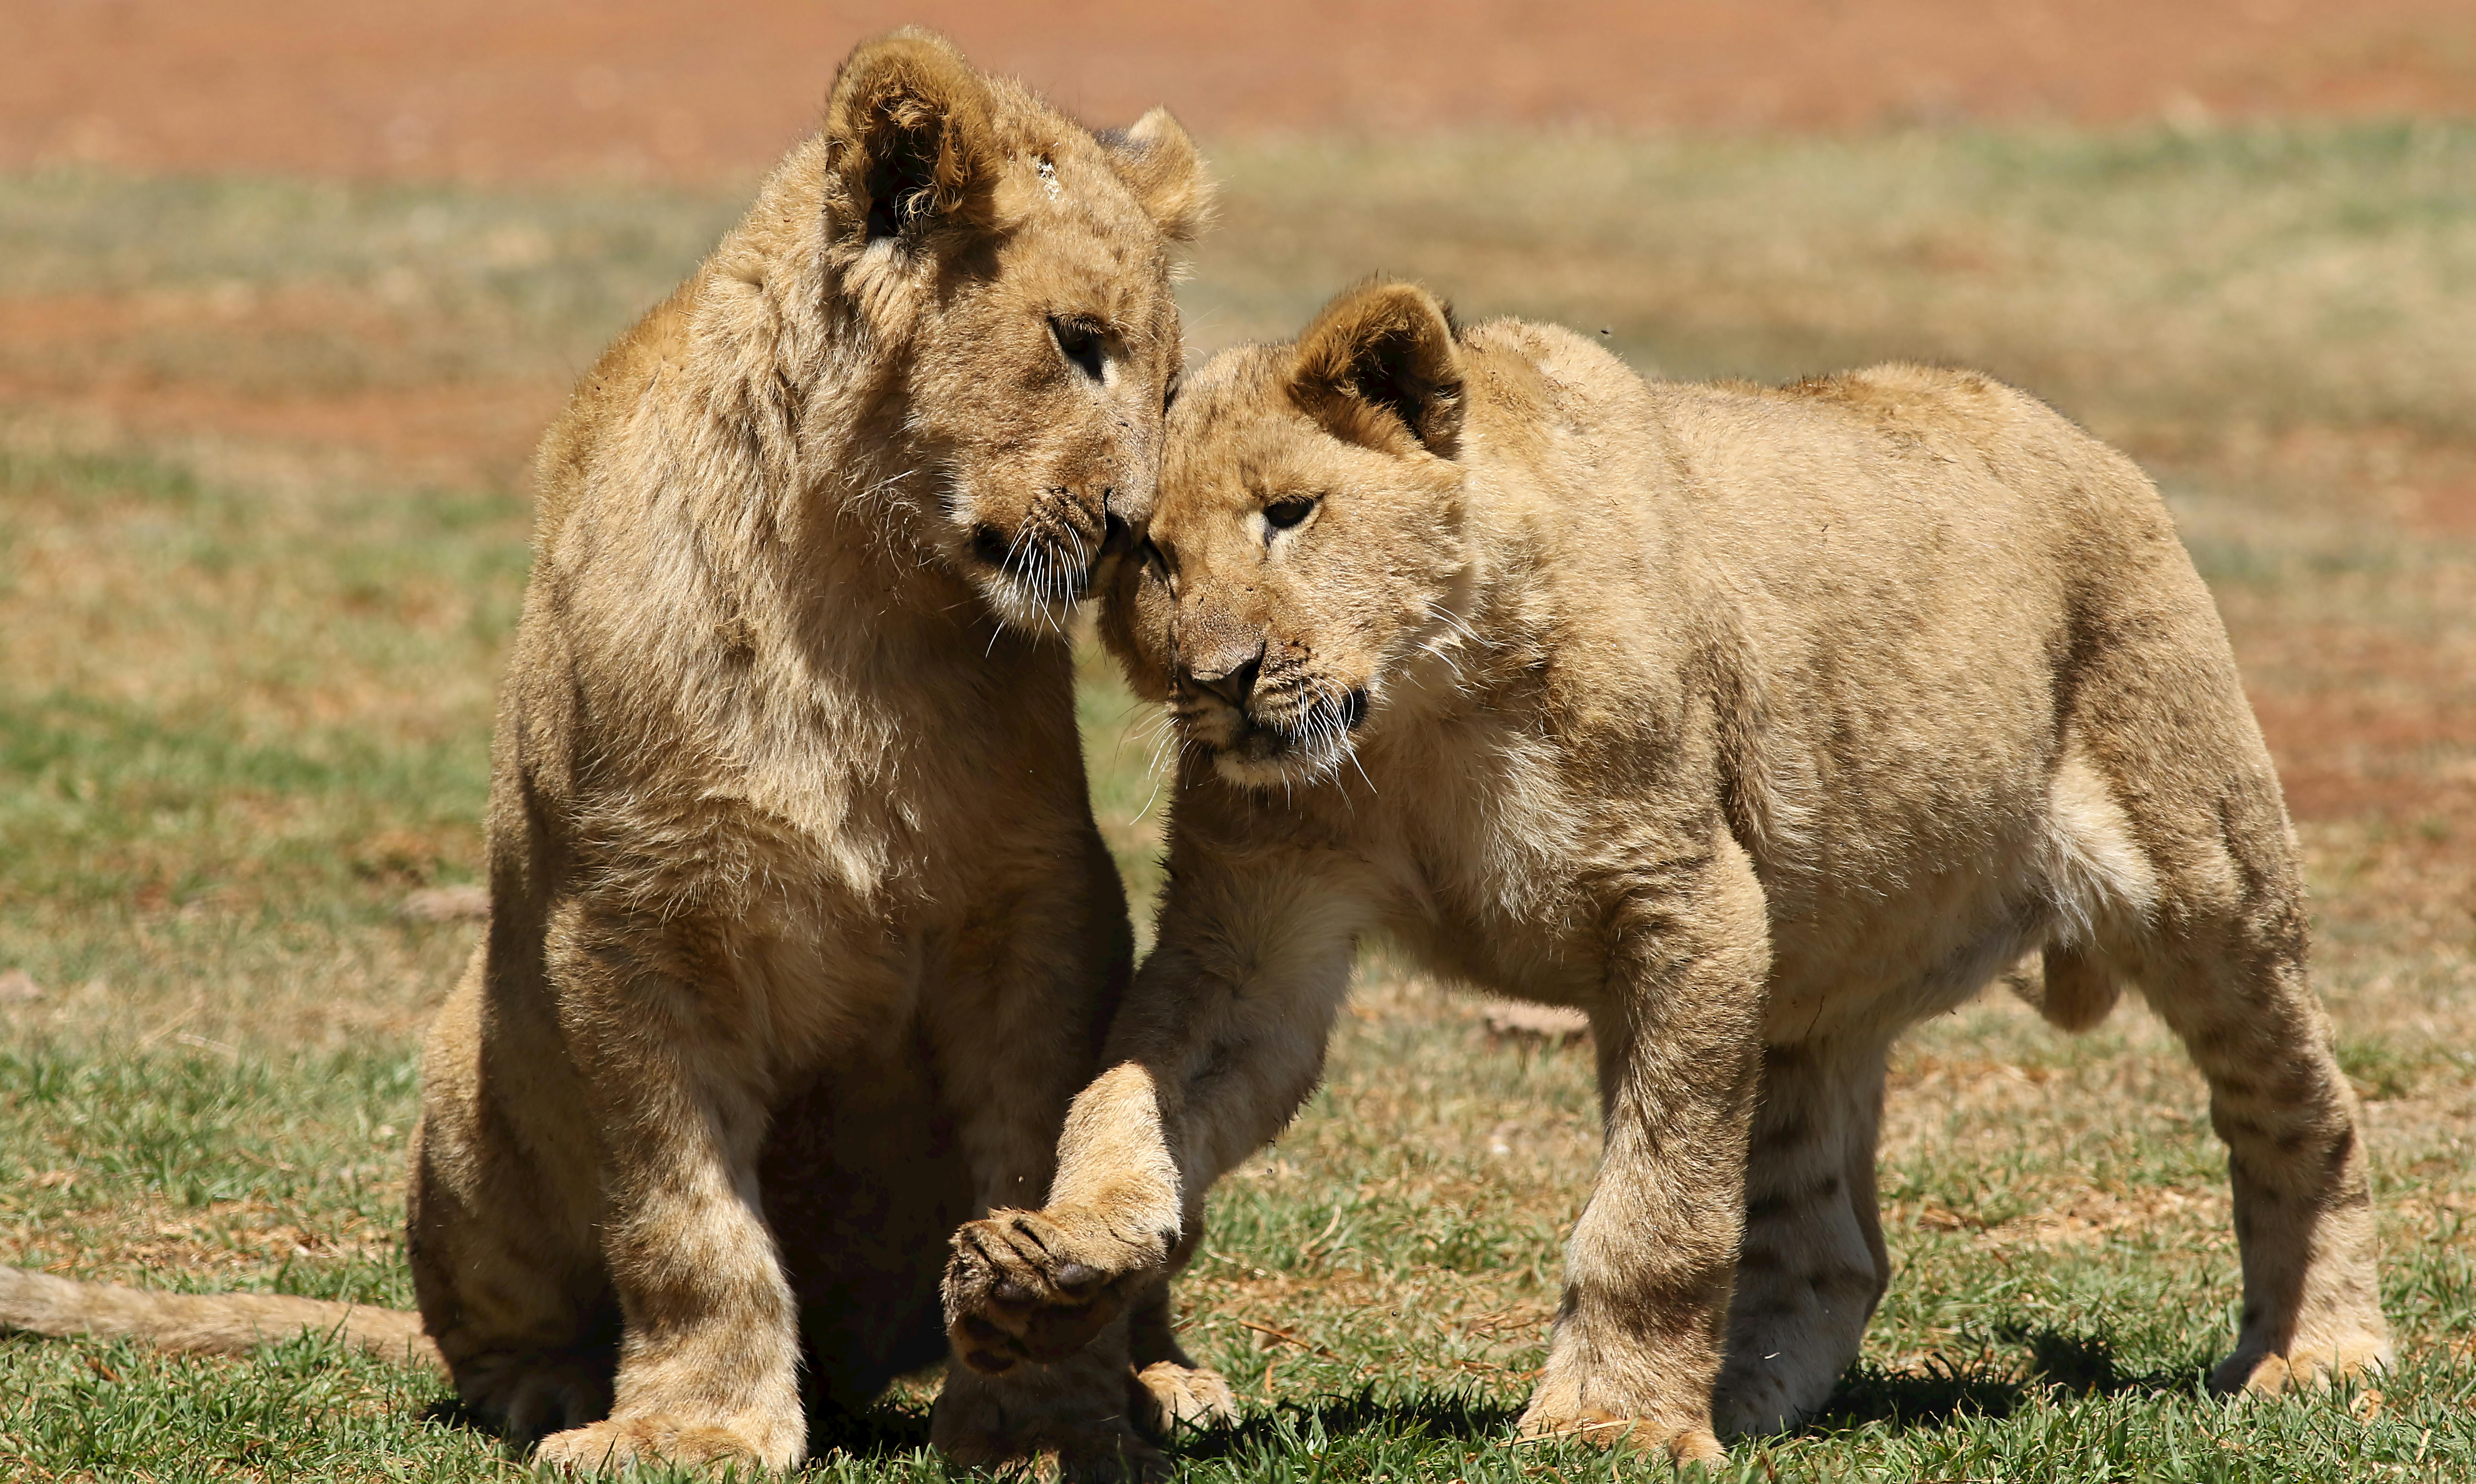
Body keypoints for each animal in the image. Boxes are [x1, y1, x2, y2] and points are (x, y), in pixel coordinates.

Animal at [0, 30, 1234, 1476]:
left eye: (1169, 386)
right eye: (1074, 344)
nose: (1137, 529)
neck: (868, 606)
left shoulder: (1036, 909)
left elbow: (1035, 1151)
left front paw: (1046, 1407)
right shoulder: (629, 921)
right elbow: (683, 1215)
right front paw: (692, 1422)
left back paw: (1168, 1376)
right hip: (465, 1080)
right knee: (479, 1332)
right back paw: (547, 1387)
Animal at [938, 279, 2393, 1461]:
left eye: (1290, 514)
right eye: (1147, 553)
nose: (1219, 678)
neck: (1418, 723)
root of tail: (2087, 444)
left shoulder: (1687, 907)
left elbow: (1655, 1208)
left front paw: (1611, 1422)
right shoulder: (1253, 939)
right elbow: (1128, 1098)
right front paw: (1051, 1261)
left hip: (2205, 875)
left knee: (2303, 1108)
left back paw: (2320, 1353)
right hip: (1814, 983)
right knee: (1827, 1245)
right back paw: (1746, 1400)